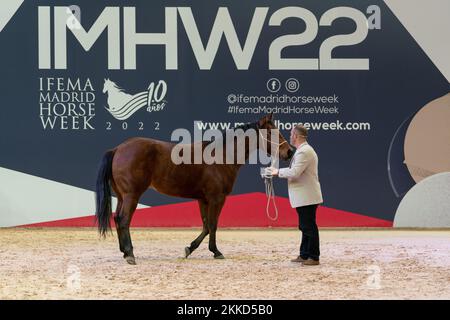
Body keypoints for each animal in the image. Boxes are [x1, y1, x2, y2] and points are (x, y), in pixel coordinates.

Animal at [94, 114, 292, 264]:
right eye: (271, 132)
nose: (289, 152)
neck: (221, 156)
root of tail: (118, 149)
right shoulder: (217, 198)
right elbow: (213, 225)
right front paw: (216, 251)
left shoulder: (203, 199)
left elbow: (206, 226)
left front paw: (189, 249)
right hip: (131, 195)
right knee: (123, 220)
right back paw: (130, 254)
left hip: (122, 196)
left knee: (117, 219)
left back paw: (124, 252)